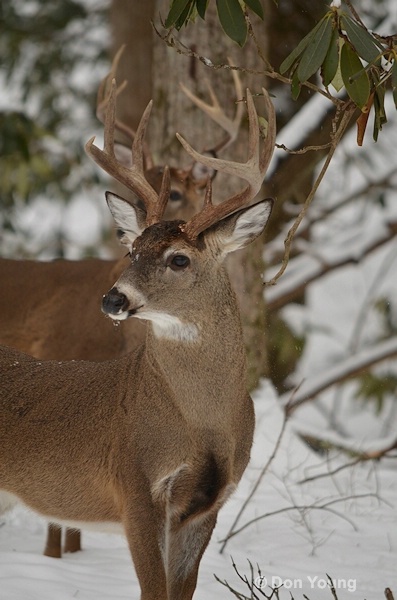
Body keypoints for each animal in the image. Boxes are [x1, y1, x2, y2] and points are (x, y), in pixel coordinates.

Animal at [0, 77, 274, 596]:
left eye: (179, 259)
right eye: (132, 249)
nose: (113, 299)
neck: (202, 423)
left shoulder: (209, 506)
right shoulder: (135, 485)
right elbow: (153, 590)